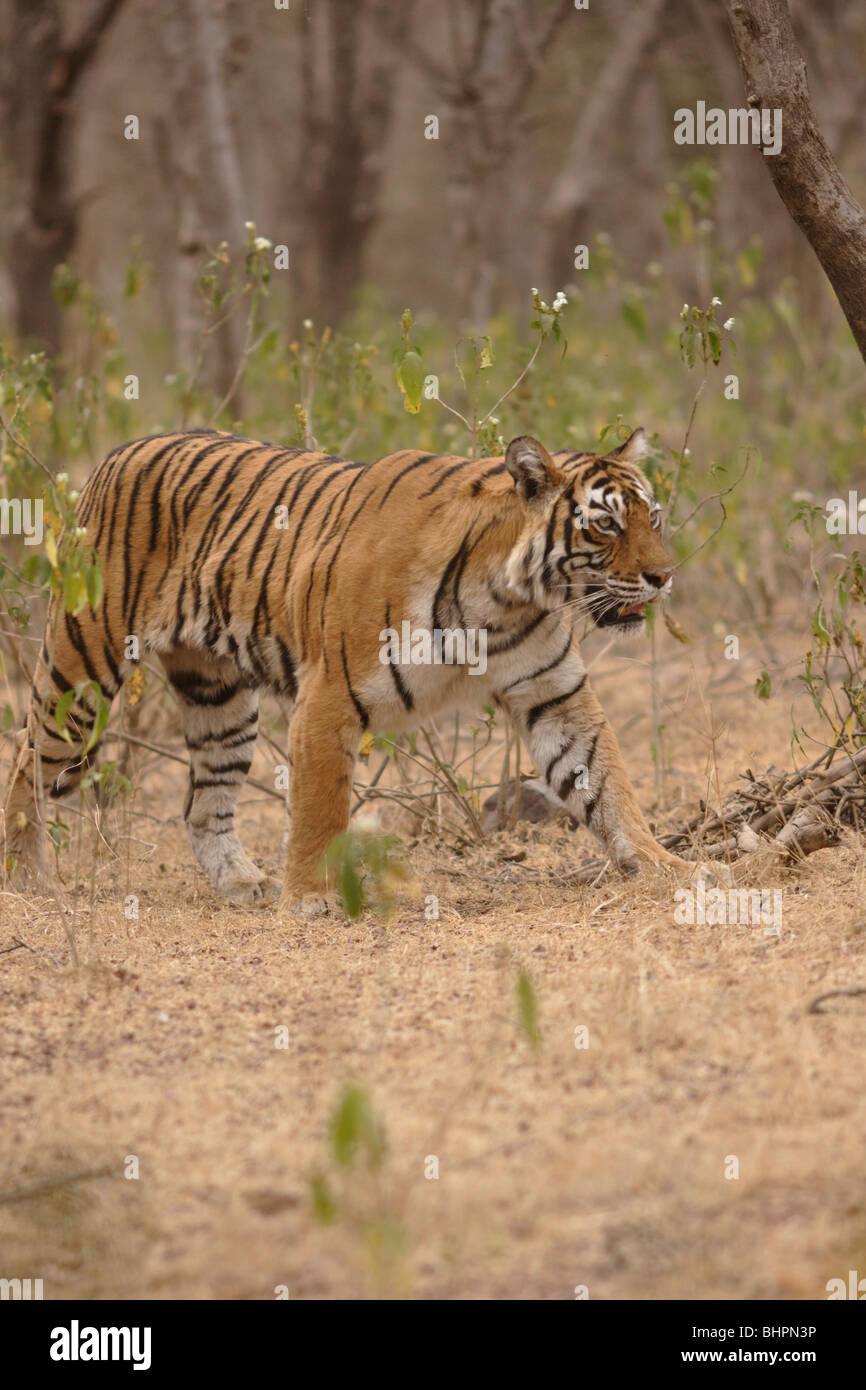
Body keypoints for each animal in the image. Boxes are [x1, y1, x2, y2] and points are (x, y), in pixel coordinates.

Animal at [1, 428, 697, 917]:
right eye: (605, 523)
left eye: (654, 518)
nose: (665, 576)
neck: (507, 601)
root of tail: (117, 452)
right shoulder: (329, 695)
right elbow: (319, 807)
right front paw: (310, 898)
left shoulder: (555, 694)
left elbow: (608, 784)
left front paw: (669, 867)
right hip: (82, 670)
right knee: (27, 759)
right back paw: (24, 877)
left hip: (221, 699)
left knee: (203, 803)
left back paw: (242, 883)